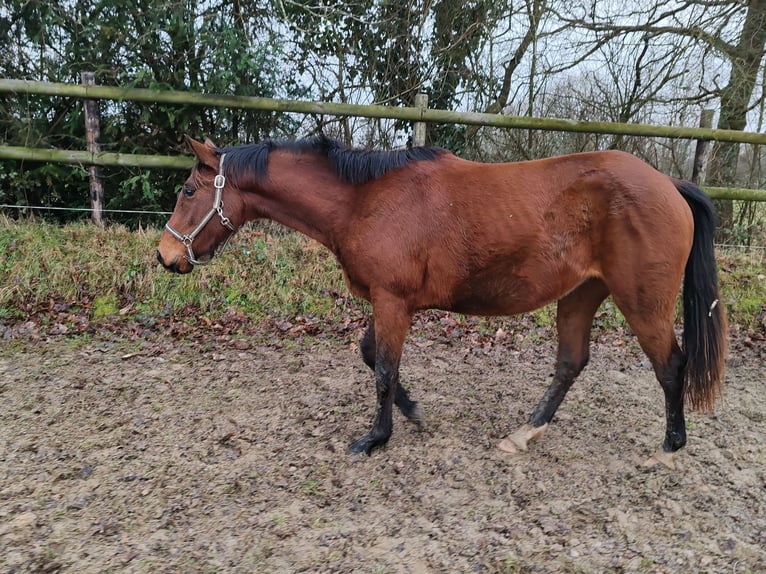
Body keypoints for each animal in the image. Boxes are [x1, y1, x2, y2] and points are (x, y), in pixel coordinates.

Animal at [154, 135, 728, 468]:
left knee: (671, 366)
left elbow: (383, 368)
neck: (365, 199)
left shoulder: (391, 301)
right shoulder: (388, 300)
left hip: (642, 302)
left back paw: (670, 448)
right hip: (582, 294)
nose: (165, 256)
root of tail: (670, 184)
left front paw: (376, 438)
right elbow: (372, 357)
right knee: (571, 362)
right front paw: (412, 412)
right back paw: (524, 434)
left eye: (188, 191)